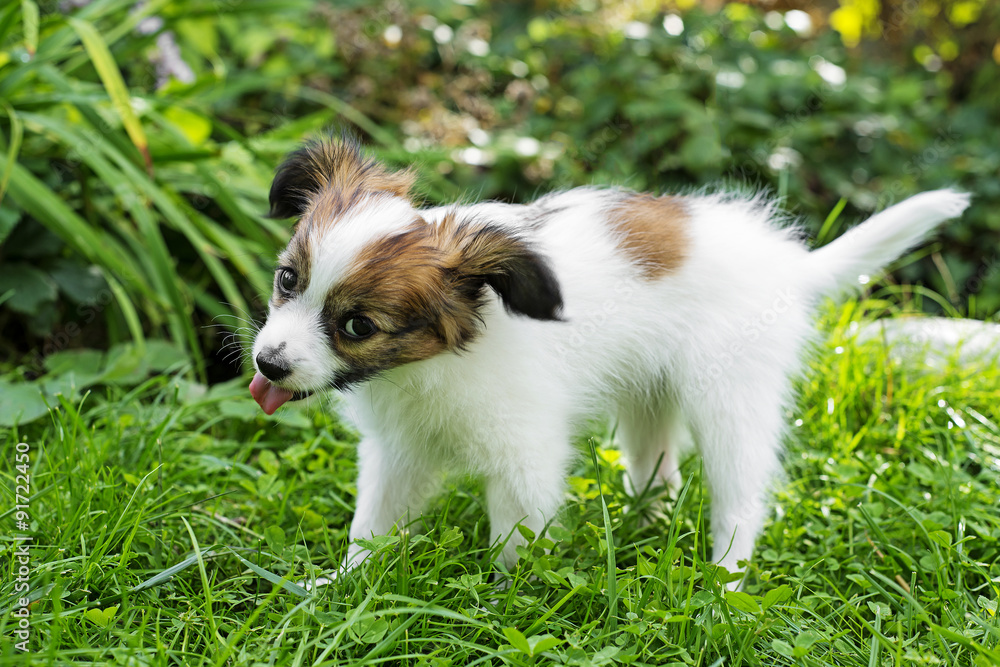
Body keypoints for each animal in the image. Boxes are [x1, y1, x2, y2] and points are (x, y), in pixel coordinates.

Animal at [248, 134, 968, 584]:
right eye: (287, 280)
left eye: (357, 325)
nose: (268, 365)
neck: (428, 362)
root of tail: (789, 264)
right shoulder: (397, 451)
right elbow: (373, 523)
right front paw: (341, 586)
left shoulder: (525, 457)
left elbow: (516, 539)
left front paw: (501, 600)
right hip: (650, 399)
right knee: (660, 474)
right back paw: (646, 531)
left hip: (730, 397)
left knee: (741, 497)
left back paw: (724, 583)